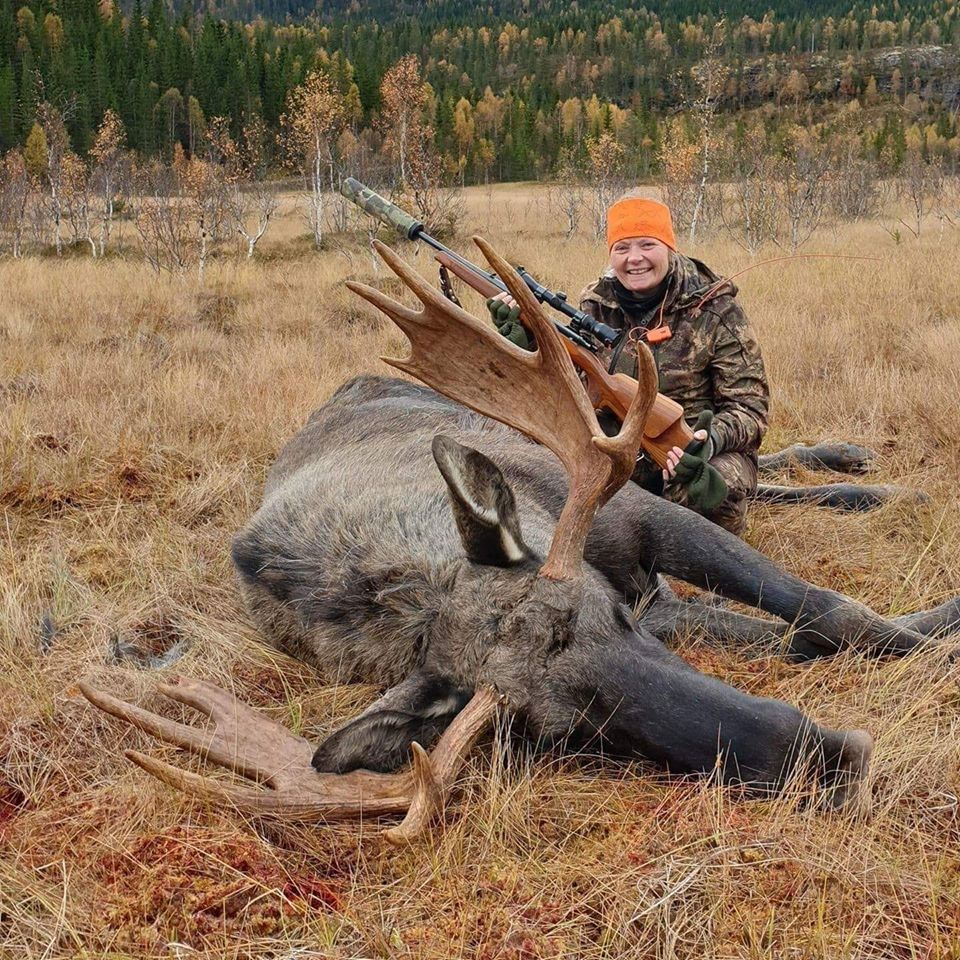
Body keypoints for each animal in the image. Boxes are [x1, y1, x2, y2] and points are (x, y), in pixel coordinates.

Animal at [84, 238, 960, 840]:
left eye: (610, 618)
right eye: (562, 734)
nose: (833, 759)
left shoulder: (635, 524)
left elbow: (834, 610)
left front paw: (935, 633)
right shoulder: (664, 607)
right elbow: (799, 636)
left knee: (739, 472)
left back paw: (864, 470)